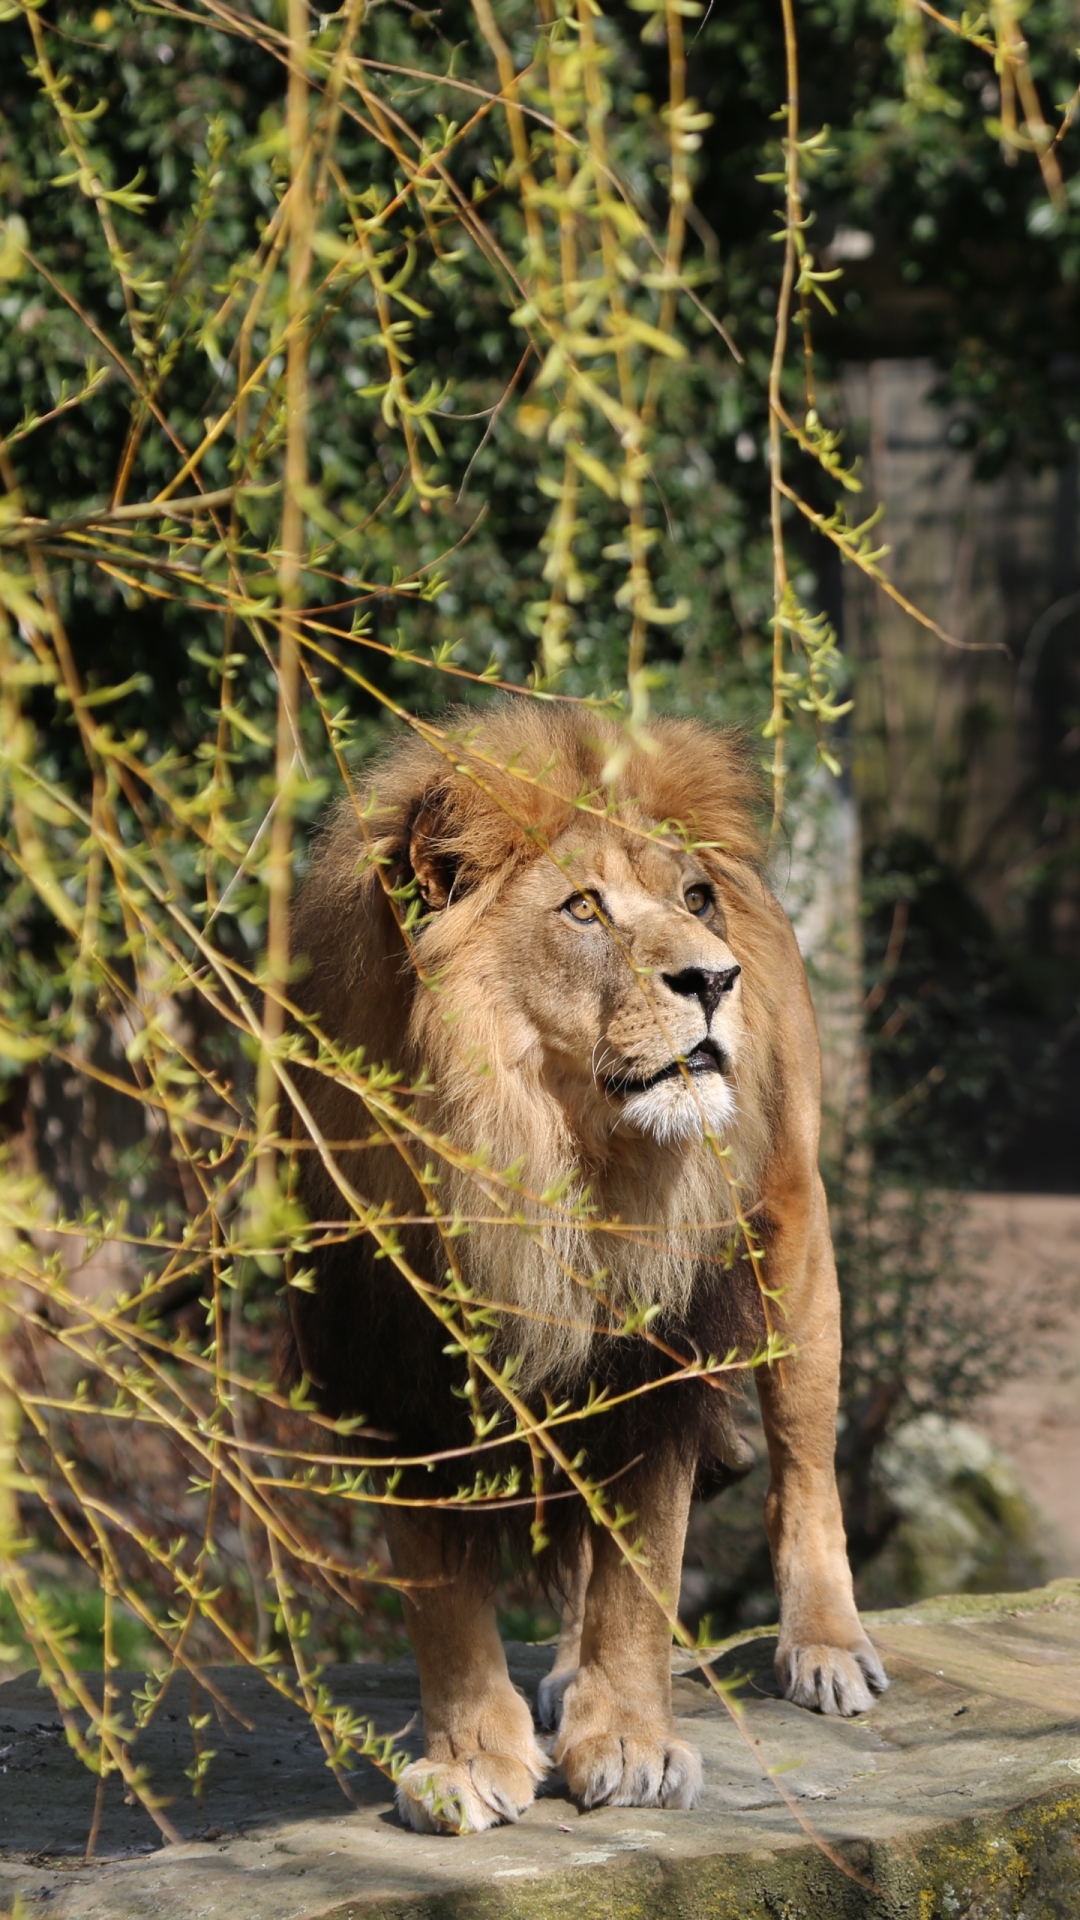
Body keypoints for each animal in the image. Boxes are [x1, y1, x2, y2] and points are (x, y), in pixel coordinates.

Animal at [284, 702, 883, 1827]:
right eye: (583, 910)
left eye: (692, 899)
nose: (715, 977)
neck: (543, 1167)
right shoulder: (400, 1369)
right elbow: (442, 1598)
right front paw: (472, 1761)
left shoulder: (659, 1357)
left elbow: (644, 1566)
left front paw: (634, 1745)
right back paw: (561, 1678)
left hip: (795, 1239)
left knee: (803, 1470)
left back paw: (826, 1649)